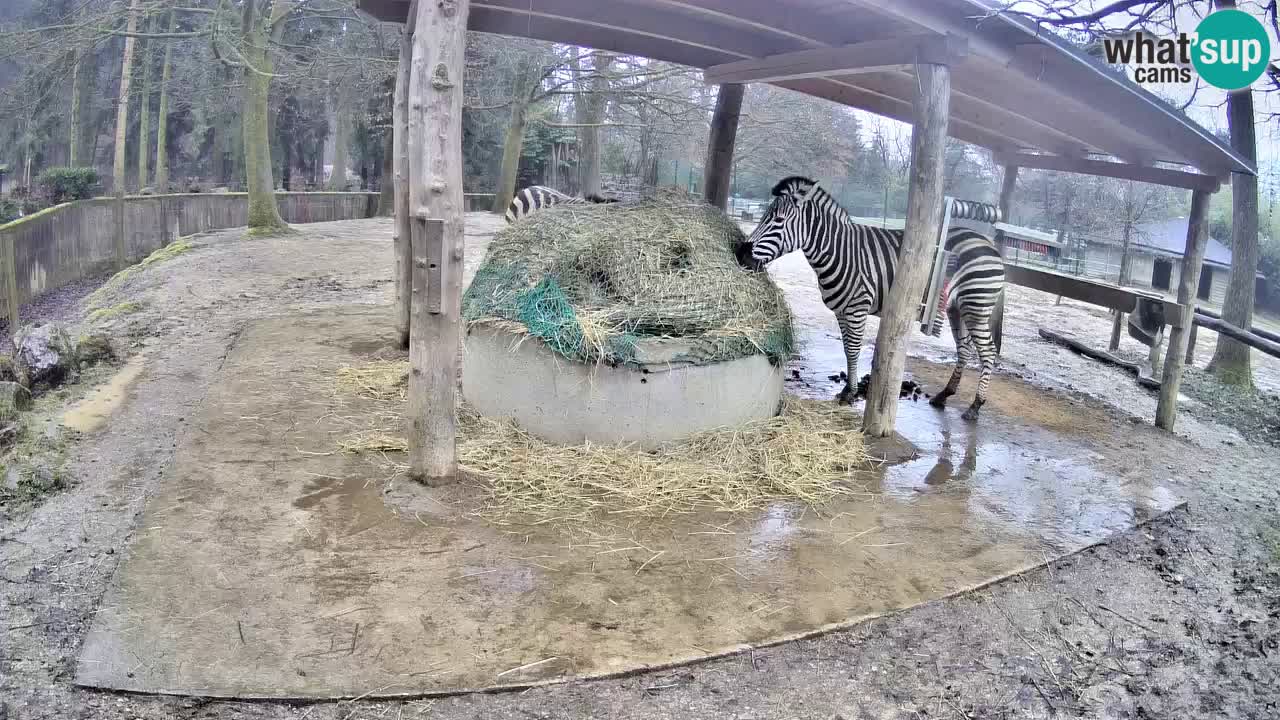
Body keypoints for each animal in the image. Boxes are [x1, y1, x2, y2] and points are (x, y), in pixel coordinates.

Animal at [736, 176, 1006, 421]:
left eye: (778, 221)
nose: (740, 255)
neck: (838, 252)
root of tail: (989, 245)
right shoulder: (841, 310)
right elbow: (847, 349)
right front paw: (847, 389)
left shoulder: (857, 307)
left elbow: (854, 349)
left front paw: (850, 393)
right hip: (956, 308)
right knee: (965, 349)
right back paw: (944, 395)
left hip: (976, 304)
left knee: (988, 352)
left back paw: (975, 406)